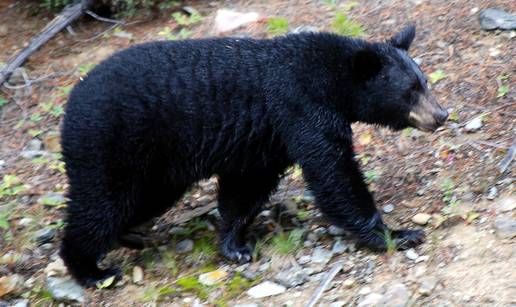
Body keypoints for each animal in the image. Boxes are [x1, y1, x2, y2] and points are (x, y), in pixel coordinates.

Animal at [60, 25, 448, 288]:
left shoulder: (267, 139)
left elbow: (247, 187)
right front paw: (397, 234)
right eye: (410, 90)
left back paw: (130, 236)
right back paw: (91, 270)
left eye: (424, 81)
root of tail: (72, 101)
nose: (441, 115)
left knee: (142, 200)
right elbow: (334, 174)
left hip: (156, 167)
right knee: (101, 205)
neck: (332, 79)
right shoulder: (301, 107)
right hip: (110, 144)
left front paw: (234, 245)